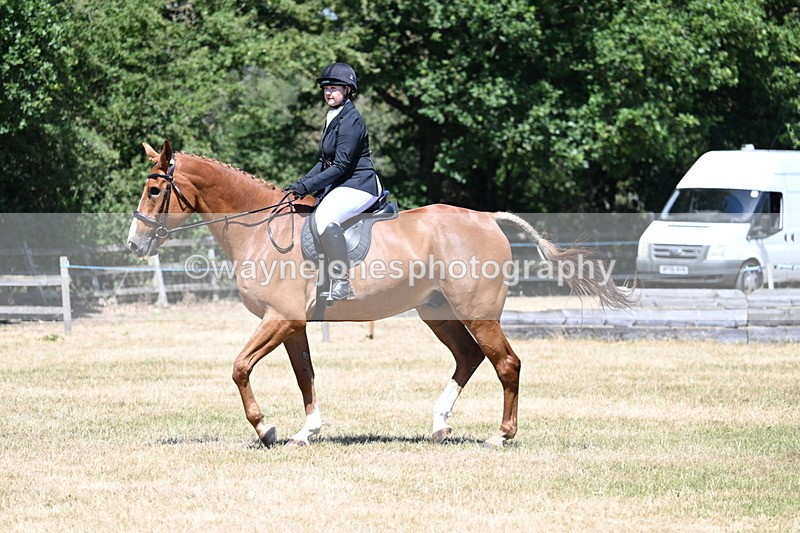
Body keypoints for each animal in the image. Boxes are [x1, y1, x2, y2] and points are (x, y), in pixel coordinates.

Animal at [127, 140, 632, 448]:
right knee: (468, 357)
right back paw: (439, 424)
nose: (134, 244)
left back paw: (500, 435)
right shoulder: (292, 325)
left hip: (478, 313)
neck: (260, 230)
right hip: (437, 312)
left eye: (153, 190)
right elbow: (305, 375)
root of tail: (488, 218)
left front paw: (266, 429)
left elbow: (239, 367)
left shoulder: (280, 318)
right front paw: (306, 431)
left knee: (506, 363)